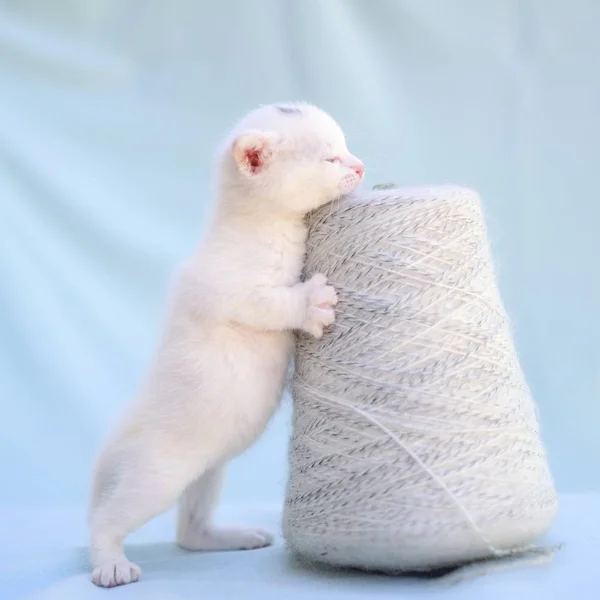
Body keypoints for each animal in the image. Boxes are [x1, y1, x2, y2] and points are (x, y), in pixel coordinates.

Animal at [86, 102, 364, 584]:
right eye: (331, 158)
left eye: (346, 149)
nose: (361, 166)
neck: (263, 228)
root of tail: (119, 436)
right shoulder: (228, 292)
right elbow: (272, 303)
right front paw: (311, 303)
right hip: (155, 476)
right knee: (106, 520)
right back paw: (111, 564)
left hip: (207, 470)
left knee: (189, 529)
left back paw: (225, 537)